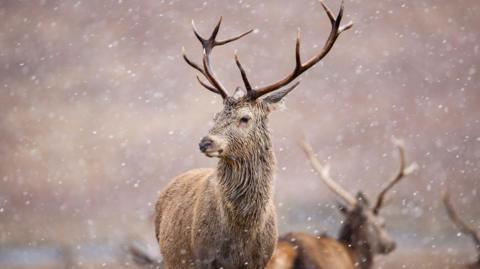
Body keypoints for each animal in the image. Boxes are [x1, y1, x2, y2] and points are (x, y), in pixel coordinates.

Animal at [154, 1, 352, 266]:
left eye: (245, 118)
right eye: (215, 116)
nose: (205, 142)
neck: (242, 232)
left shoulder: (263, 259)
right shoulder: (204, 258)